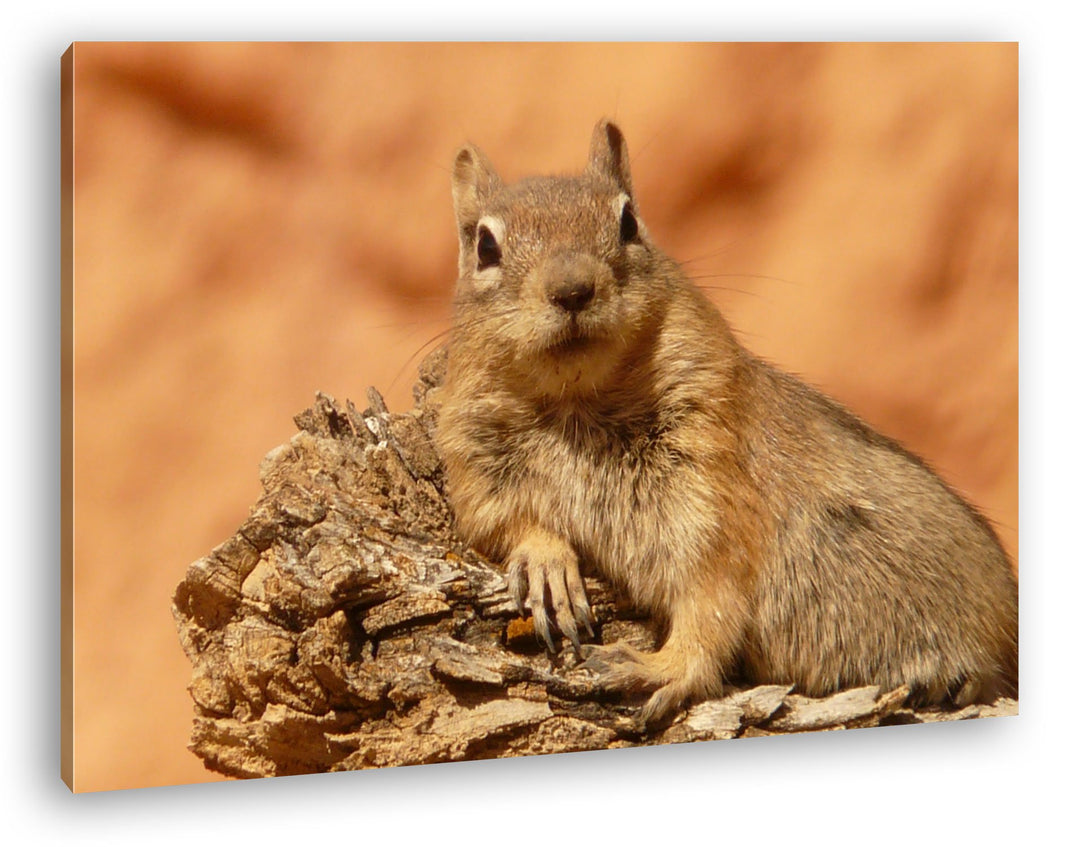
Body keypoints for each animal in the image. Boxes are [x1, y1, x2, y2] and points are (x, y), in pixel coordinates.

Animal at [434, 118, 1019, 725]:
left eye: (628, 221)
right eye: (485, 246)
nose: (572, 289)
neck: (579, 403)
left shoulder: (713, 493)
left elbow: (711, 603)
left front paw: (659, 668)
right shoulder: (474, 465)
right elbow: (503, 523)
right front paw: (546, 563)